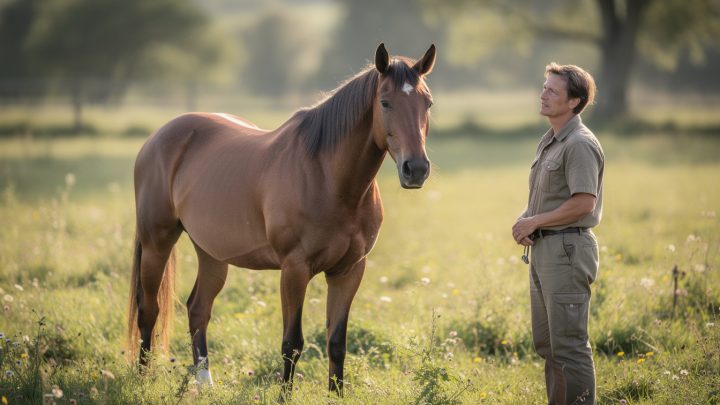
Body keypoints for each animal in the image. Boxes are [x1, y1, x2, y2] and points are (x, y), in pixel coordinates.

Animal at [127, 43, 436, 395]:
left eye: (427, 103)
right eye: (385, 102)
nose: (416, 169)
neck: (328, 178)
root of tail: (158, 137)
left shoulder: (349, 271)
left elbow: (337, 342)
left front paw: (336, 395)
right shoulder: (294, 269)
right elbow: (292, 343)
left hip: (212, 253)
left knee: (198, 309)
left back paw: (206, 385)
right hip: (157, 243)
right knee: (149, 310)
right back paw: (142, 381)